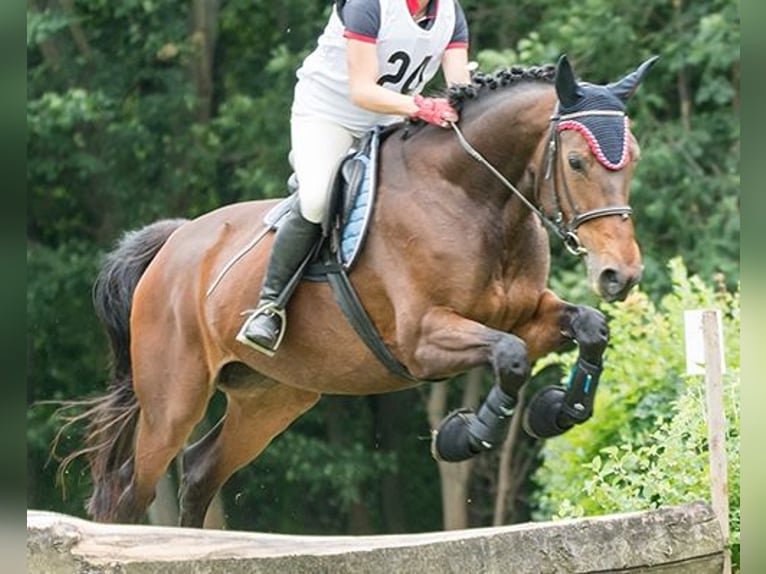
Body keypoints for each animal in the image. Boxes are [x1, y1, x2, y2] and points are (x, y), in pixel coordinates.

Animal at [60, 55, 660, 532]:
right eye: (576, 162)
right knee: (128, 489)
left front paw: (558, 410)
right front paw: (464, 436)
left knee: (202, 469)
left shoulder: (528, 317)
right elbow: (509, 358)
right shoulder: (422, 341)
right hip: (173, 398)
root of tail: (174, 243)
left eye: (633, 160)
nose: (621, 274)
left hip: (273, 395)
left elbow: (587, 329)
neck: (474, 199)